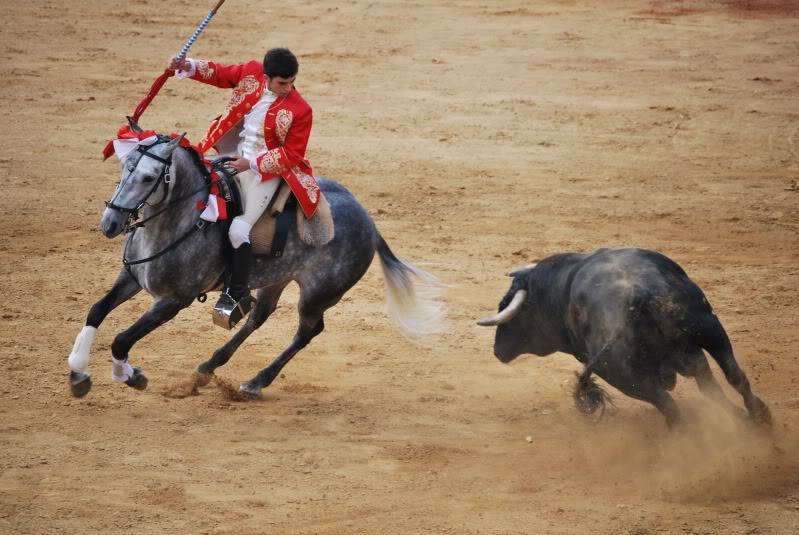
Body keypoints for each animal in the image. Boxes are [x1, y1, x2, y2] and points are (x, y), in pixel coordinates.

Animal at [65, 125, 446, 398]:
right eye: (123, 167)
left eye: (147, 177)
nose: (110, 224)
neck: (178, 220)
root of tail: (369, 222)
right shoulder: (130, 278)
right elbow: (96, 311)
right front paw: (78, 372)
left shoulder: (173, 300)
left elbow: (122, 339)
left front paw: (131, 375)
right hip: (277, 278)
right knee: (259, 316)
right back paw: (207, 369)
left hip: (318, 294)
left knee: (308, 331)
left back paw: (255, 382)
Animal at [478, 249, 772, 430]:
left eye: (506, 306)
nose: (497, 350)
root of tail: (638, 297)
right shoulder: (688, 352)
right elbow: (707, 382)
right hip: (708, 328)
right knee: (732, 376)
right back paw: (757, 419)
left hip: (619, 373)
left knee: (669, 405)